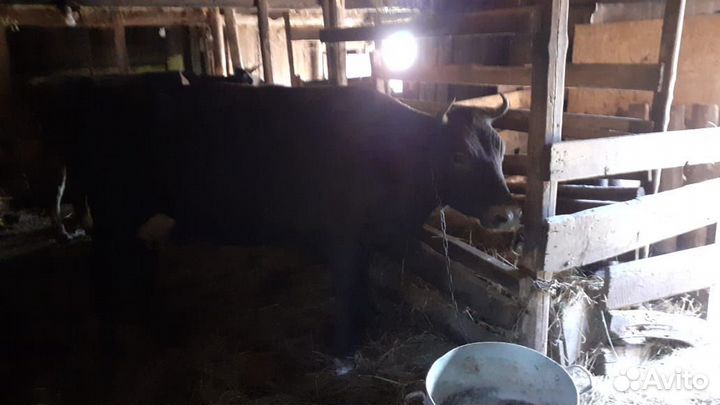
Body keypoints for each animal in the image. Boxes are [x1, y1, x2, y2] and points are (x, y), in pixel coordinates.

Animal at [29, 75, 518, 356]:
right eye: (457, 156)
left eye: (501, 151)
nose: (508, 212)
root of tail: (97, 97)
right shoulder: (342, 233)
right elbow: (346, 284)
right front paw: (345, 346)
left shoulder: (361, 237)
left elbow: (362, 280)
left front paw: (370, 321)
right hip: (114, 210)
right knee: (102, 268)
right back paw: (110, 333)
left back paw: (154, 321)